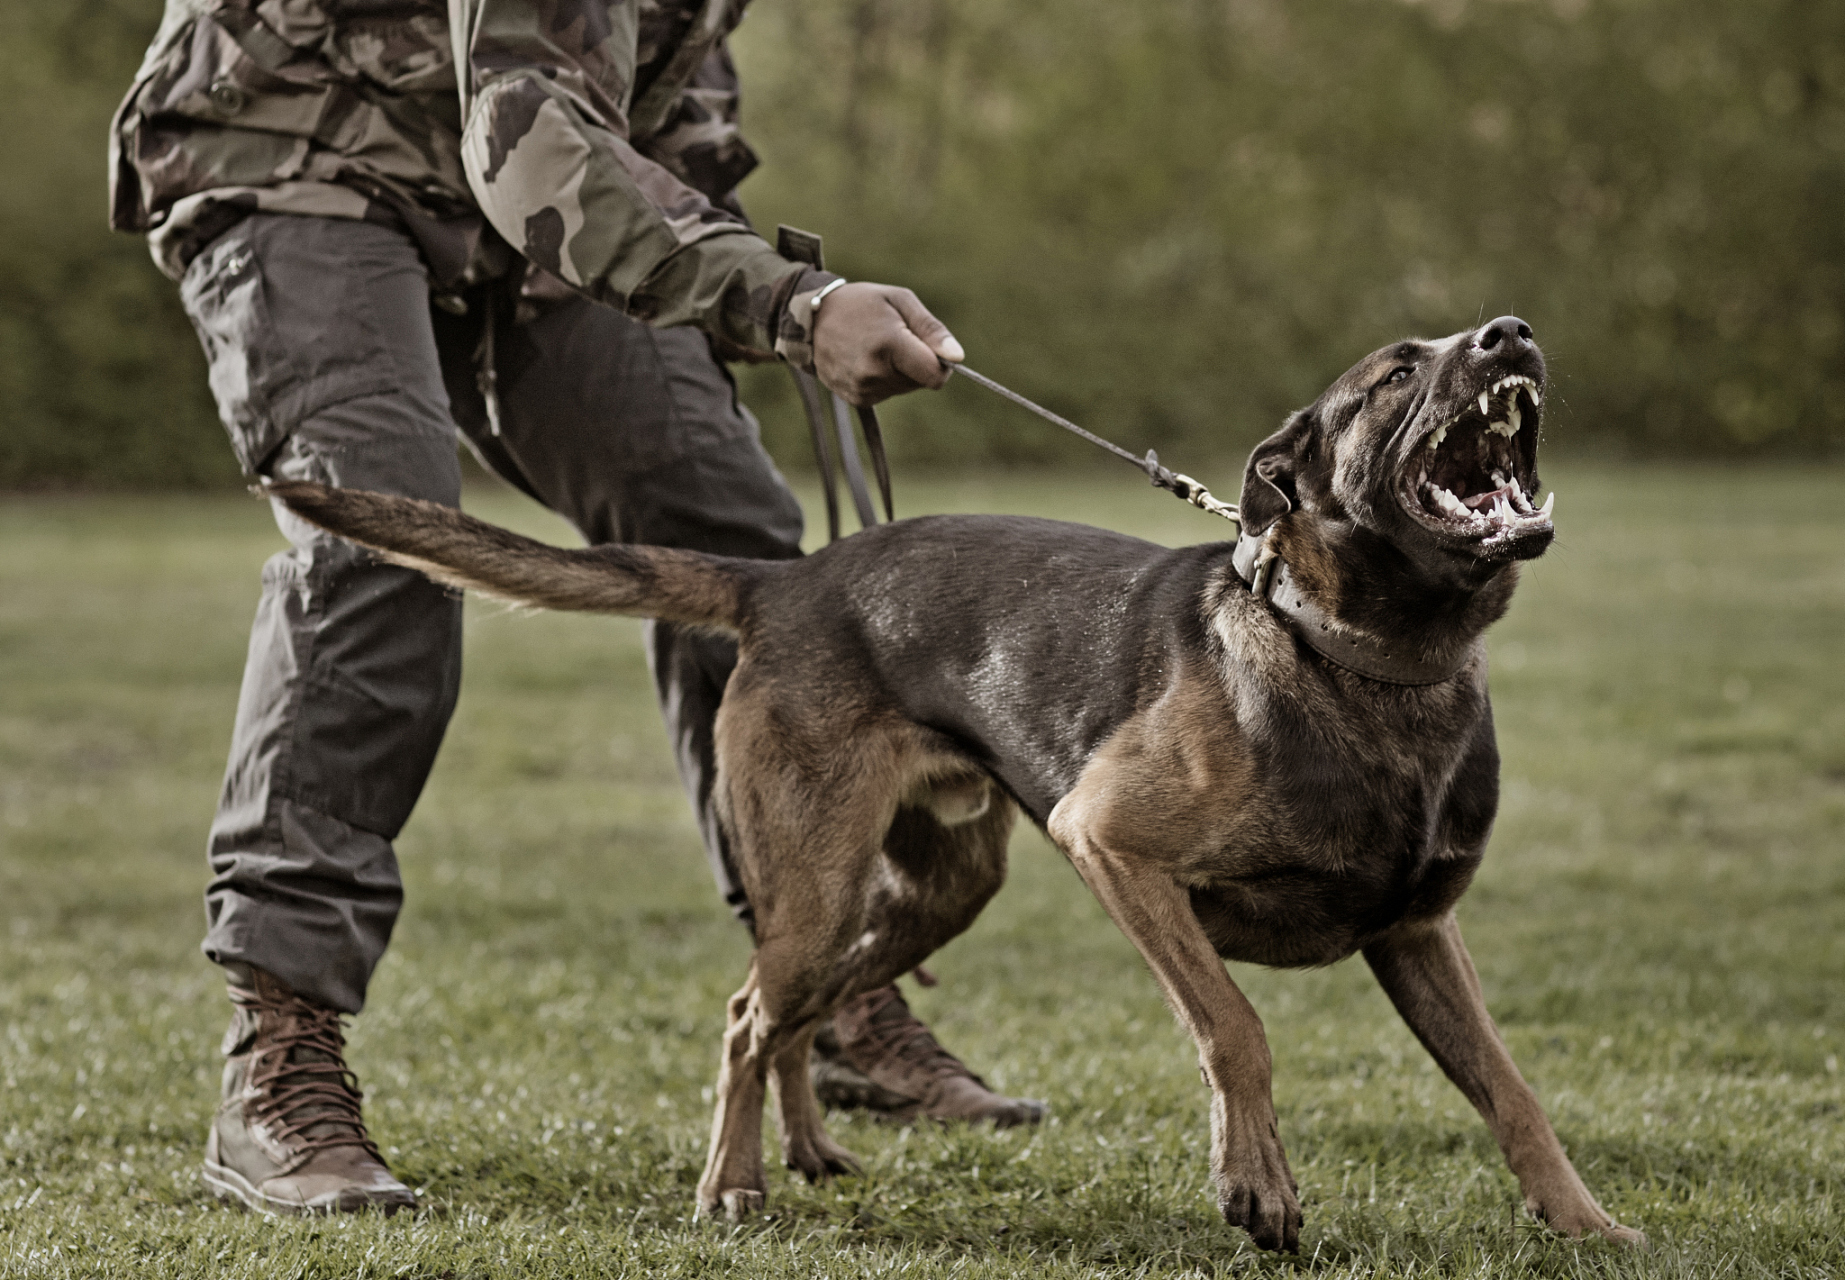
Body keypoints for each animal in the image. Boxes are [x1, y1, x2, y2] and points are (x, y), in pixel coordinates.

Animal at [269, 319, 1645, 1254]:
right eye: (1398, 372)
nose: (1510, 332)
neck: (1359, 657)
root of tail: (786, 581)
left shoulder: (1419, 933)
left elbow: (1511, 1088)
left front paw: (1583, 1222)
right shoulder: (1116, 848)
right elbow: (1234, 1024)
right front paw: (1256, 1182)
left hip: (928, 892)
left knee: (797, 1013)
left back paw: (808, 1147)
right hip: (821, 882)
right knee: (746, 1012)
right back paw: (732, 1186)